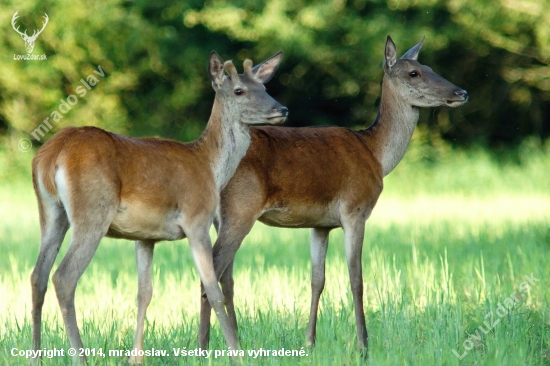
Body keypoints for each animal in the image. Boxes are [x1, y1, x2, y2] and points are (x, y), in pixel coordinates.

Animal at [30, 50, 288, 364]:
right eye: (239, 90)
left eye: (264, 87)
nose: (282, 109)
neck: (210, 166)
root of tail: (52, 154)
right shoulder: (196, 219)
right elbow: (212, 289)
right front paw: (236, 353)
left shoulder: (145, 236)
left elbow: (145, 293)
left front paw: (136, 358)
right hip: (92, 211)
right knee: (64, 278)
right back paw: (80, 357)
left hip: (51, 212)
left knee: (38, 276)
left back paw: (36, 355)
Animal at [198, 35, 470, 354]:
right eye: (414, 73)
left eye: (429, 67)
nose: (461, 92)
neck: (376, 155)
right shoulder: (355, 210)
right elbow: (356, 279)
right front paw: (363, 345)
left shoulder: (321, 224)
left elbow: (317, 279)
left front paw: (309, 342)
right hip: (240, 210)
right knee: (212, 275)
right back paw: (205, 347)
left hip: (224, 218)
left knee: (225, 277)